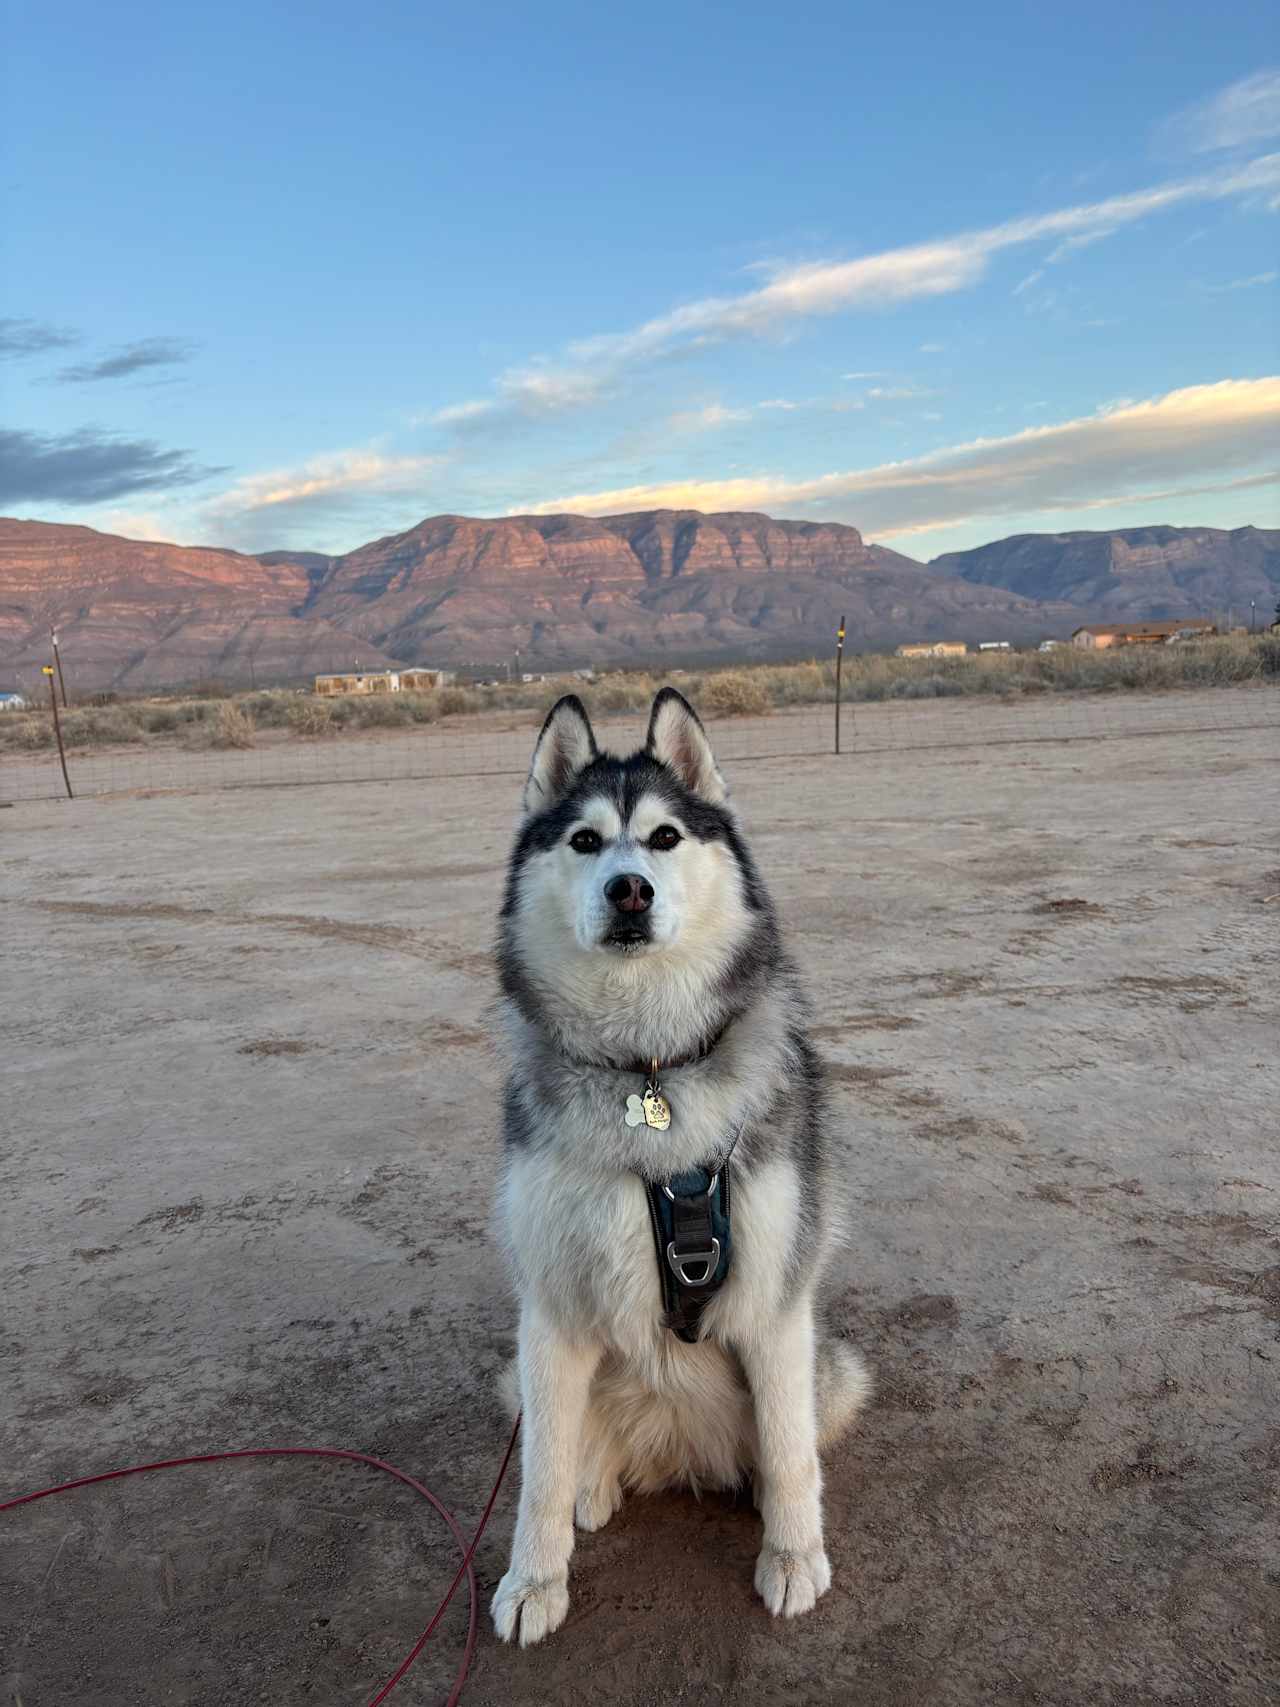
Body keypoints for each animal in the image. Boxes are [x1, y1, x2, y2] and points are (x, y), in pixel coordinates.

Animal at [491, 686, 873, 1645]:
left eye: (664, 837)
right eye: (584, 841)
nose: (629, 888)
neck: (648, 1070)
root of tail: (672, 1454)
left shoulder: (776, 1298)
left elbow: (788, 1451)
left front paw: (792, 1556)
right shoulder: (547, 1311)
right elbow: (539, 1472)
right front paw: (533, 1579)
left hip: (834, 1371)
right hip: (520, 1373)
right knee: (572, 1450)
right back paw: (595, 1483)